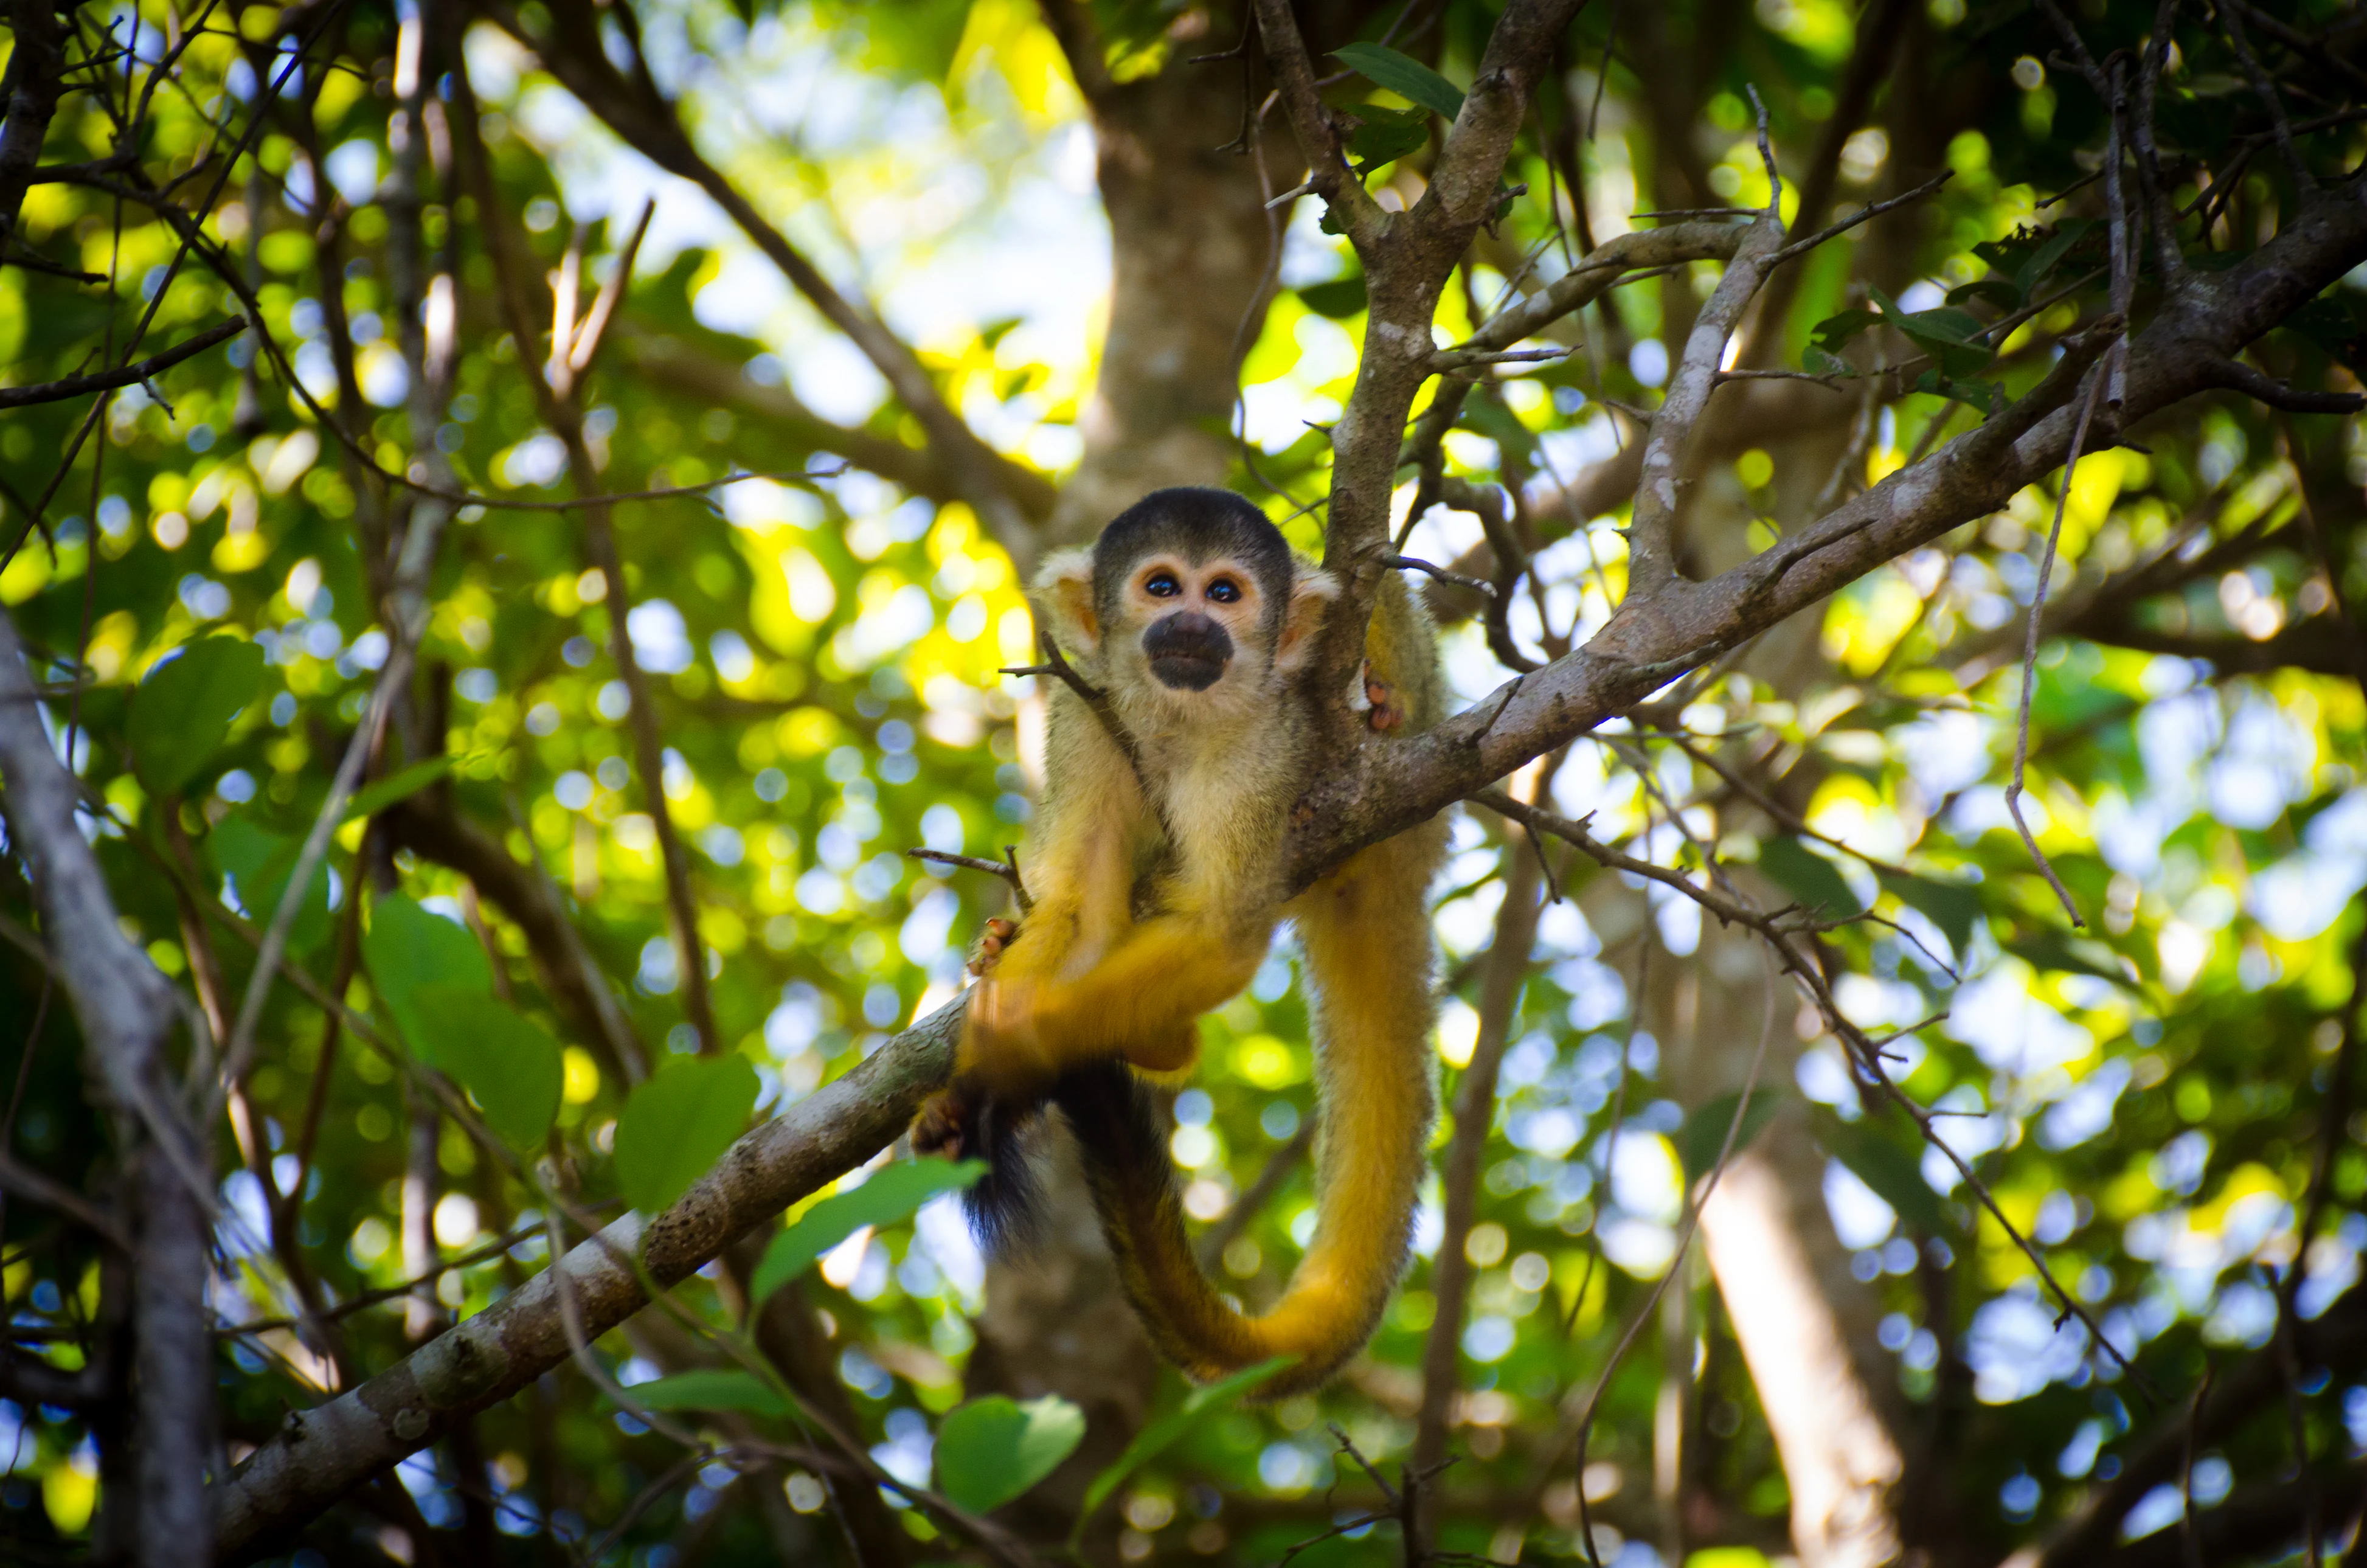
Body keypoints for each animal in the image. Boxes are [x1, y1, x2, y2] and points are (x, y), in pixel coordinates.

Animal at [912, 486, 1448, 1395]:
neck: (1182, 715)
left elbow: (1219, 936)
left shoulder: (1266, 745)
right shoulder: (1088, 708)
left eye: (1225, 593)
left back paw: (1379, 701)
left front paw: (1007, 1063)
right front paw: (981, 1070)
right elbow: (1076, 913)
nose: (1194, 625)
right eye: (1162, 587)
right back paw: (1152, 1036)